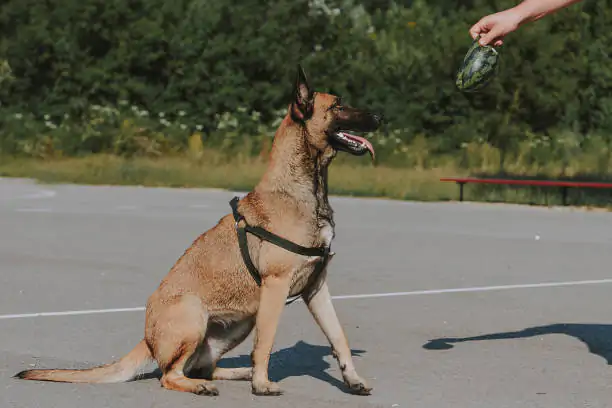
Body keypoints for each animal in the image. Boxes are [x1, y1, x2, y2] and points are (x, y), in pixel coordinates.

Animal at [14, 65, 382, 396]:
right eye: (338, 105)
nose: (381, 117)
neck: (305, 189)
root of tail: (147, 338)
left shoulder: (316, 287)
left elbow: (338, 337)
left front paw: (352, 380)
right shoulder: (276, 287)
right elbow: (266, 341)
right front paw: (262, 385)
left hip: (239, 321)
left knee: (205, 366)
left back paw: (238, 373)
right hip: (195, 314)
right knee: (170, 375)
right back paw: (207, 385)